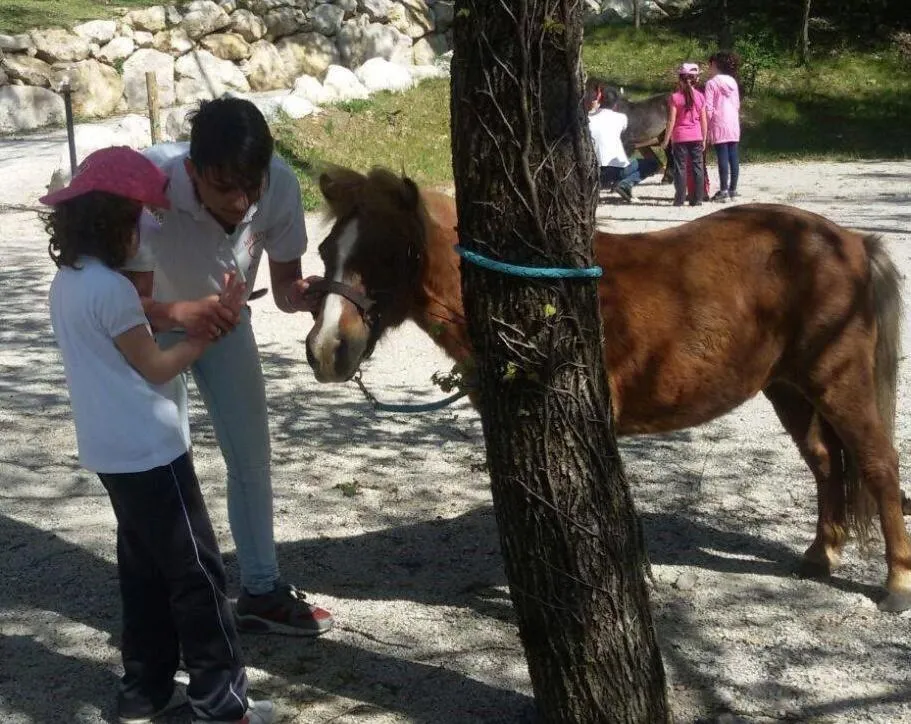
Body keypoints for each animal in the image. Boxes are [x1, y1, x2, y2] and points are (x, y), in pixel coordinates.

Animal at [304, 165, 911, 613]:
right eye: (327, 250)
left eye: (389, 255)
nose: (326, 350)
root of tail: (850, 241)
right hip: (788, 388)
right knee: (826, 464)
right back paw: (819, 556)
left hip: (840, 382)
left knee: (878, 467)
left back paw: (896, 585)